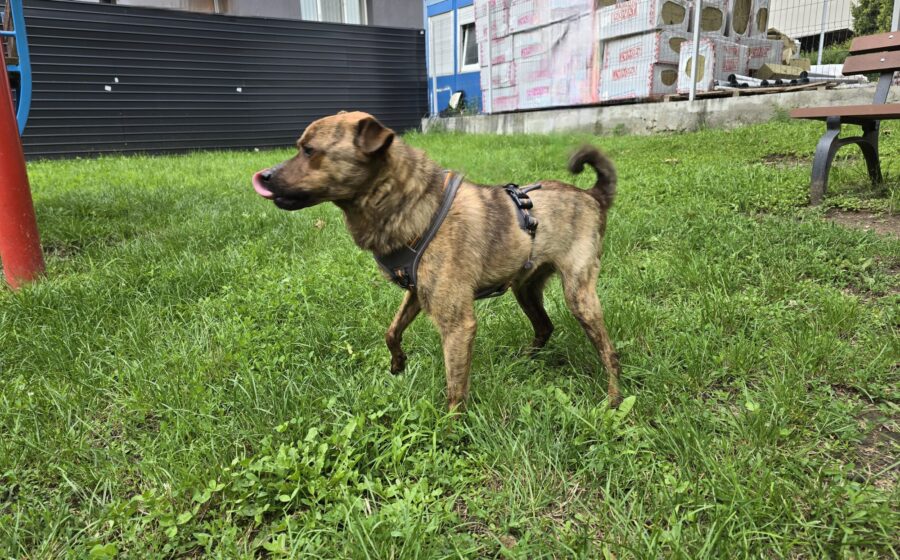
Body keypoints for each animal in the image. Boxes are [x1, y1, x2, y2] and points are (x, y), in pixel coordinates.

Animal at [252, 111, 621, 410]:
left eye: (309, 150)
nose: (264, 176)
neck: (414, 203)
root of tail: (592, 196)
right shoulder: (417, 292)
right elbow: (391, 331)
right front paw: (398, 363)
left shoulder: (457, 324)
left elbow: (455, 389)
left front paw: (452, 430)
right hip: (525, 288)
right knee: (545, 326)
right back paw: (526, 362)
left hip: (579, 295)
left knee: (609, 353)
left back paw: (614, 399)